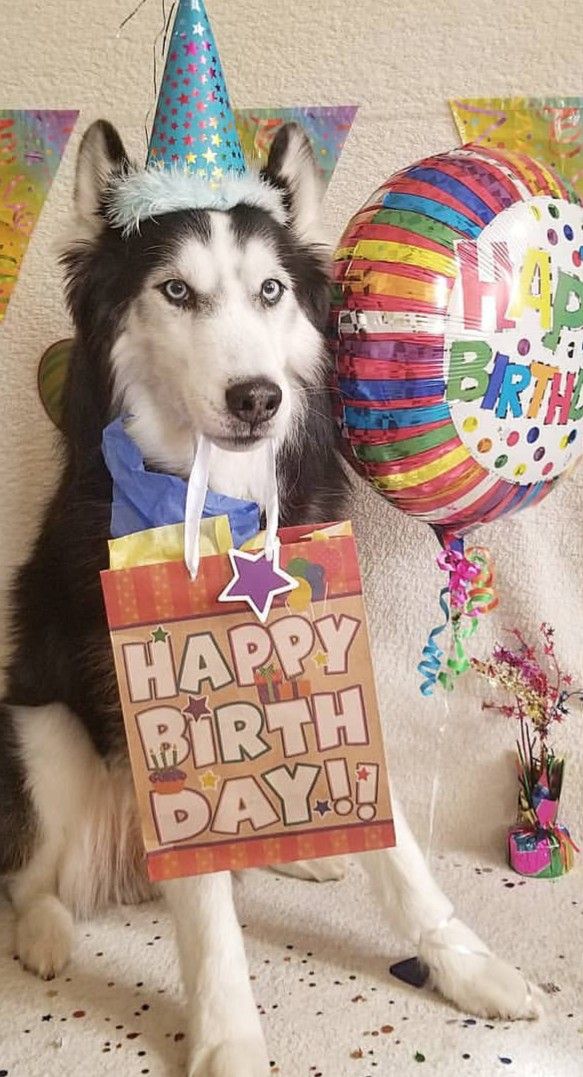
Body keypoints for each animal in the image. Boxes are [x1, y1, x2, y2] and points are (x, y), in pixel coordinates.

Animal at [0, 122, 536, 1077]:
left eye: (271, 290)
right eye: (176, 290)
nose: (257, 396)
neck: (226, 498)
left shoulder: (327, 649)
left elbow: (400, 849)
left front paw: (463, 964)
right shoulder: (152, 695)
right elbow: (207, 905)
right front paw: (227, 1036)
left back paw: (305, 853)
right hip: (45, 733)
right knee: (31, 878)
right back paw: (46, 932)